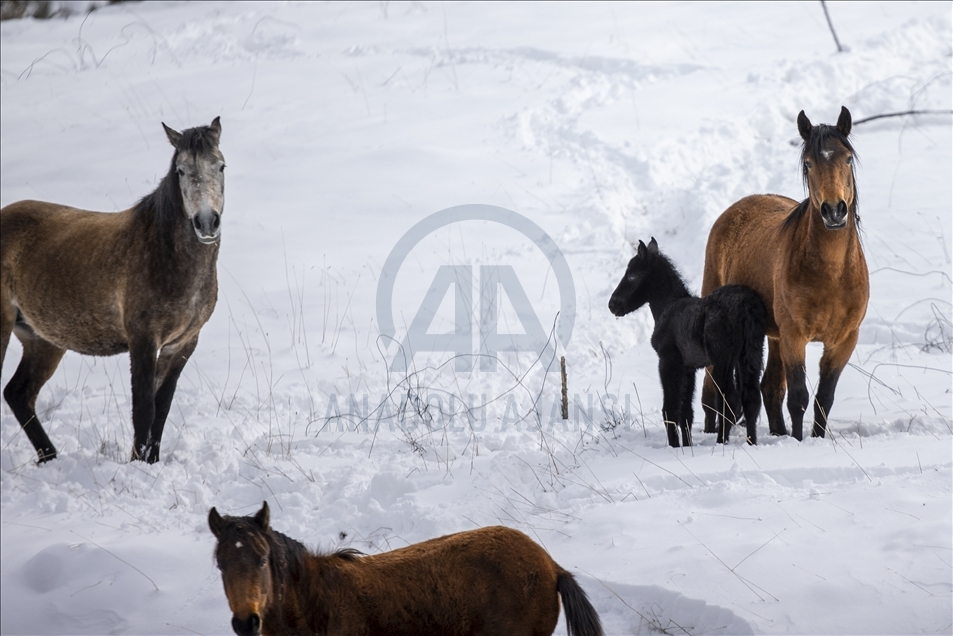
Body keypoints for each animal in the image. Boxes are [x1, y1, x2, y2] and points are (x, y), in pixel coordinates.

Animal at [0, 117, 226, 462]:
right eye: (181, 171)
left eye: (221, 166)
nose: (206, 223)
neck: (164, 253)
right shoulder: (143, 339)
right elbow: (144, 410)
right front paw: (138, 465)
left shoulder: (182, 344)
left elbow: (161, 410)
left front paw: (151, 462)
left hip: (42, 339)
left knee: (19, 394)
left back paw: (49, 457)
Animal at [608, 236, 768, 444]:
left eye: (632, 276)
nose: (613, 304)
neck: (668, 307)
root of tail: (745, 305)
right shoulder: (688, 368)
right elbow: (685, 412)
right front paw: (687, 444)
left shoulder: (668, 361)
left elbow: (670, 409)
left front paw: (675, 446)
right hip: (750, 354)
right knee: (751, 398)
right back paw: (751, 442)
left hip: (722, 359)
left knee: (729, 399)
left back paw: (721, 442)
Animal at [700, 107, 872, 440]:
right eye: (808, 162)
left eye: (847, 158)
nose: (834, 211)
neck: (833, 275)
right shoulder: (795, 336)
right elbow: (798, 398)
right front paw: (798, 442)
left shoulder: (844, 340)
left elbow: (823, 399)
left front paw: (815, 439)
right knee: (712, 388)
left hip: (775, 335)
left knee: (769, 388)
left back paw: (777, 433)